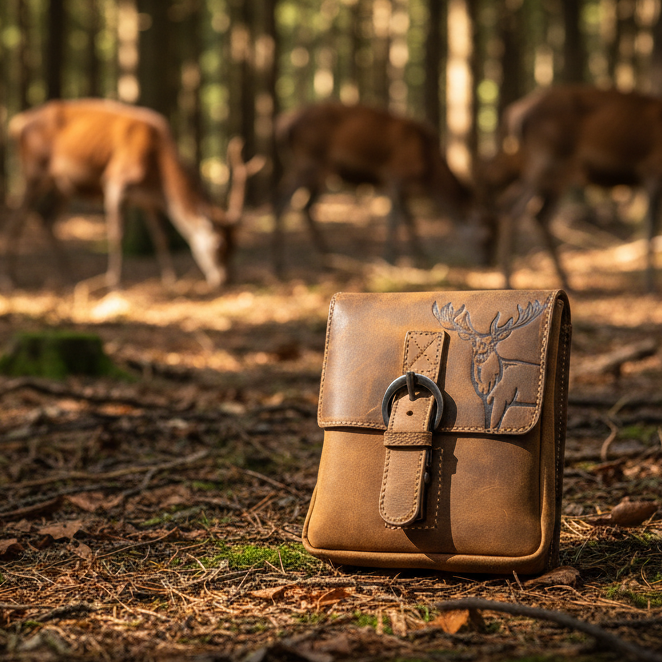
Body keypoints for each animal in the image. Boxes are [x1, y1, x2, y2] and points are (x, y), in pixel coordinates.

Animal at [6, 98, 264, 290]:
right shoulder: (115, 183)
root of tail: (17, 123)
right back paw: (11, 279)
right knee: (18, 219)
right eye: (218, 245)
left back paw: (69, 276)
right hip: (34, 170)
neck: (158, 174)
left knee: (46, 218)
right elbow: (117, 233)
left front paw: (170, 279)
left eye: (236, 245)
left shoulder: (148, 200)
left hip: (63, 184)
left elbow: (160, 236)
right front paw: (114, 281)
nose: (226, 280)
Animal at [272, 102, 491, 275]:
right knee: (281, 200)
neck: (428, 171)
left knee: (305, 206)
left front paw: (421, 256)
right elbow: (396, 218)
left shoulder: (402, 186)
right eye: (485, 237)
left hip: (320, 170)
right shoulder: (395, 175)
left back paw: (327, 258)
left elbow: (408, 219)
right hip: (309, 161)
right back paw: (280, 265)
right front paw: (389, 258)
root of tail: (284, 127)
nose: (486, 263)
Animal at [433, 299, 546, 430]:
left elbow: (493, 425)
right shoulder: (486, 402)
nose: (481, 352)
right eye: (473, 342)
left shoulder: (504, 397)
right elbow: (487, 424)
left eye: (493, 342)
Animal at [481, 84, 662, 292]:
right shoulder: (652, 169)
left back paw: (565, 282)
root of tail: (513, 112)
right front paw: (649, 284)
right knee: (514, 209)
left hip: (557, 175)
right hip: (545, 161)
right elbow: (650, 228)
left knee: (537, 214)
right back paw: (508, 282)